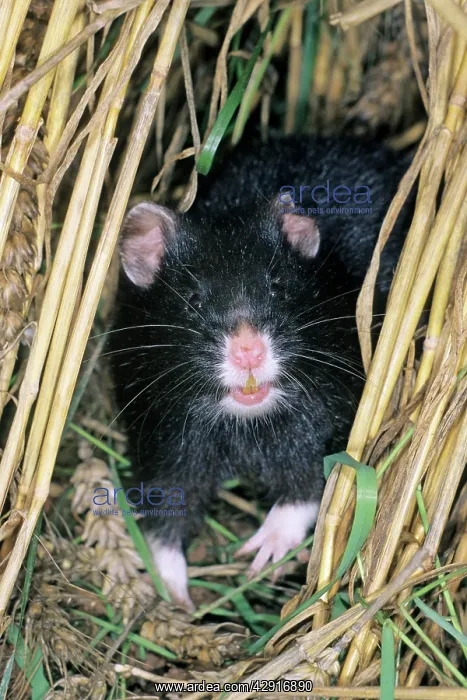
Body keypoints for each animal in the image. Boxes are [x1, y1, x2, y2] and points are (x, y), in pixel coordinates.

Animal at [109, 135, 410, 609]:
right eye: (193, 298)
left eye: (277, 287)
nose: (248, 354)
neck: (243, 425)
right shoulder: (166, 439)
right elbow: (166, 515)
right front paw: (179, 601)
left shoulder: (330, 417)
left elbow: (309, 485)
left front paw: (257, 557)